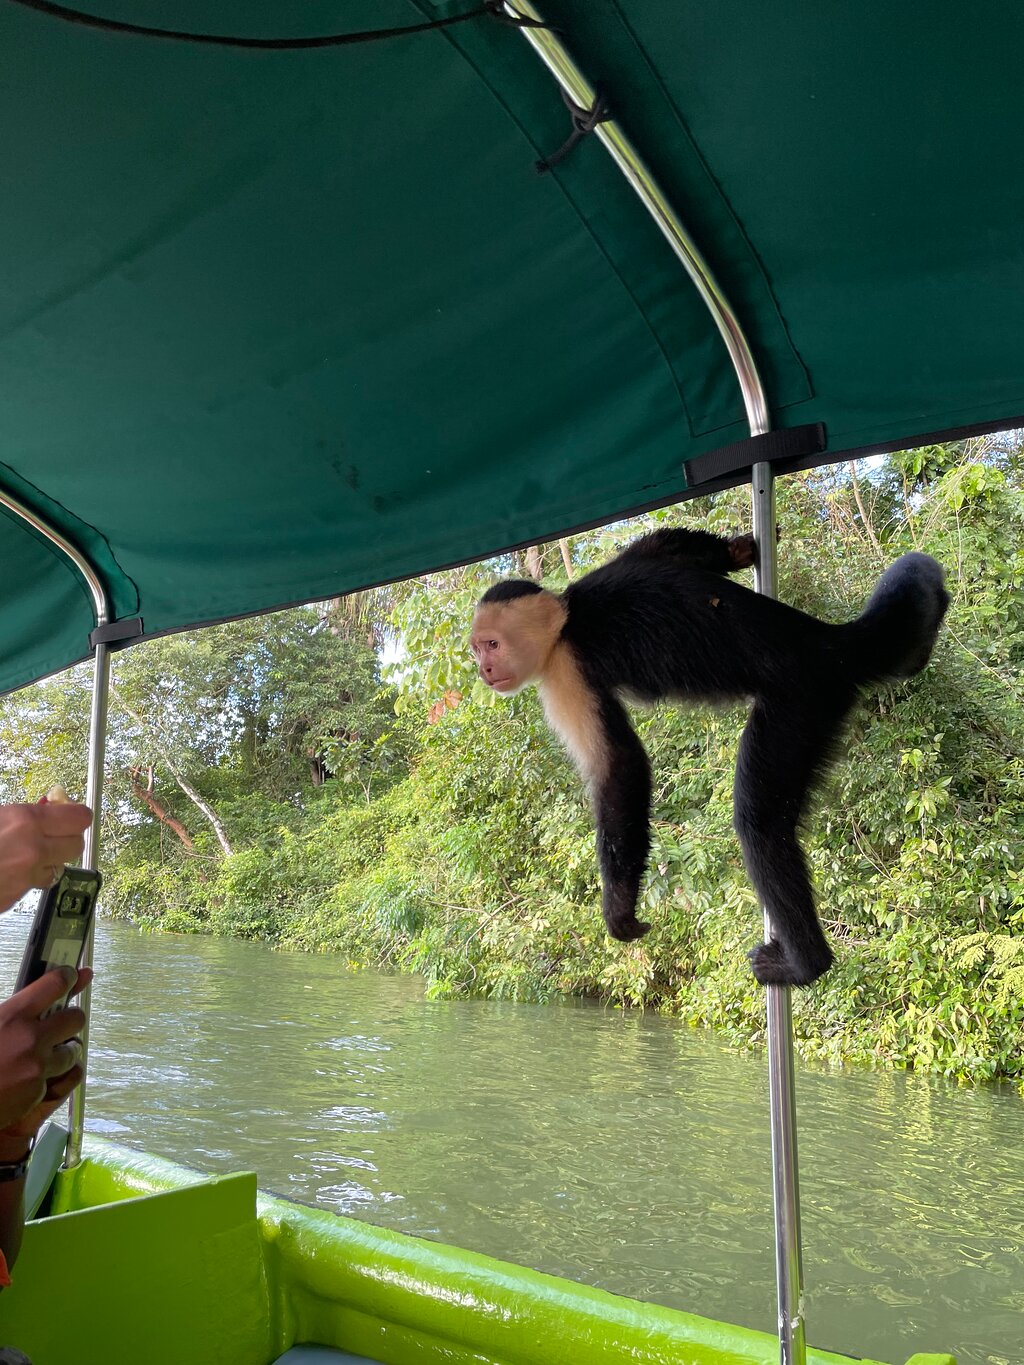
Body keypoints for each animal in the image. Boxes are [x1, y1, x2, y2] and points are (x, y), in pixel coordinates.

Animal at [469, 526, 949, 987]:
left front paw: (620, 906)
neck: (568, 619)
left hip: (802, 699)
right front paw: (739, 551)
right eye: (477, 650)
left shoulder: (565, 670)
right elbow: (663, 547)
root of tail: (827, 641)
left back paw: (806, 964)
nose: (484, 671)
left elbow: (620, 765)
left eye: (491, 645)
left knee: (760, 824)